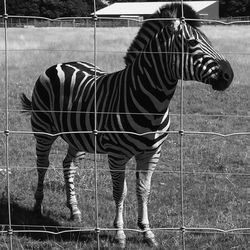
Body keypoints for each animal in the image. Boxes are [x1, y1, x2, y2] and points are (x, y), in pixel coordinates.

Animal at [20, 3, 233, 248]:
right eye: (191, 43)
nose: (229, 75)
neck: (152, 103)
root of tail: (61, 63)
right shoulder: (117, 154)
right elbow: (119, 192)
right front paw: (120, 234)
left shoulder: (152, 154)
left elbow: (144, 191)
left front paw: (147, 232)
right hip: (43, 130)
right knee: (42, 165)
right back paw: (37, 207)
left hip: (79, 136)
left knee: (68, 165)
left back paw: (74, 210)